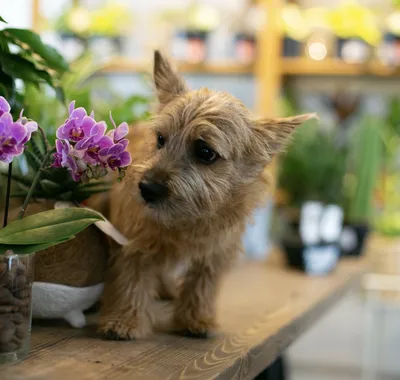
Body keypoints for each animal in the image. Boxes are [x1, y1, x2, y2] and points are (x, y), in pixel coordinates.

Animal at [97, 50, 316, 338]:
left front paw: (196, 319)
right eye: (160, 139)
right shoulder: (133, 240)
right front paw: (124, 320)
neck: (186, 221)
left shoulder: (215, 252)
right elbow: (131, 278)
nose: (147, 188)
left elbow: (203, 283)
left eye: (205, 152)